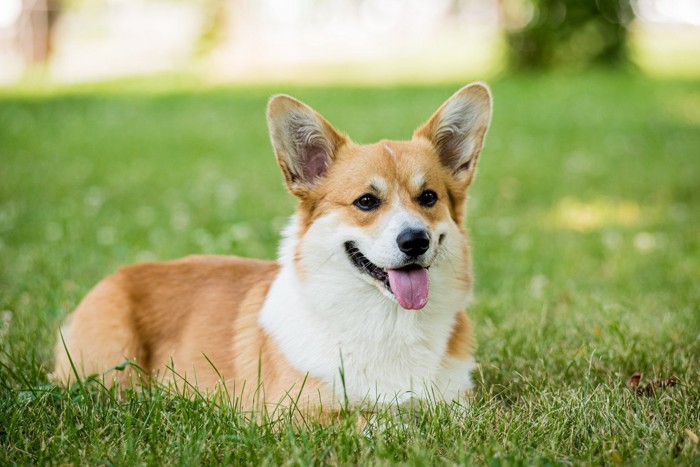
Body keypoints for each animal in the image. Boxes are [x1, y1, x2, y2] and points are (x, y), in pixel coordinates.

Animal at [53, 83, 492, 414]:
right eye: (366, 201)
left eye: (429, 197)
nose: (415, 240)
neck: (388, 321)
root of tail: (121, 272)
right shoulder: (297, 415)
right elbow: (382, 422)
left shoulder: (459, 404)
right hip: (114, 371)